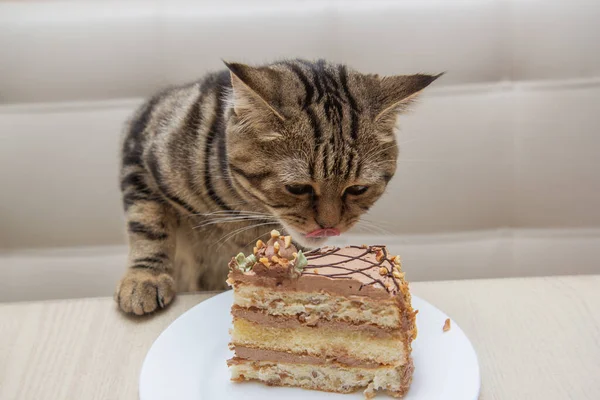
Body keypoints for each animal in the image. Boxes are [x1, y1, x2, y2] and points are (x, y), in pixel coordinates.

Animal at [115, 59, 438, 316]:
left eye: (357, 189)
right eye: (297, 188)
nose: (329, 225)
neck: (240, 210)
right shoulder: (139, 150)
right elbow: (148, 226)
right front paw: (144, 279)